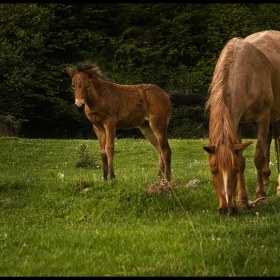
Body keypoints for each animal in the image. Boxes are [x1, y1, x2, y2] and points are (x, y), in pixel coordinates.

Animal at [66, 61, 205, 182]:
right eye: (73, 85)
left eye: (88, 85)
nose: (79, 106)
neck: (97, 99)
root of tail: (167, 95)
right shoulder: (97, 126)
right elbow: (102, 151)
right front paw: (104, 178)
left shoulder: (110, 123)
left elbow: (109, 148)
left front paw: (112, 177)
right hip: (145, 126)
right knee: (159, 149)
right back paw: (159, 177)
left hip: (159, 123)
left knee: (166, 150)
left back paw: (168, 179)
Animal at [203, 30, 280, 214]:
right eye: (213, 171)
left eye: (233, 170)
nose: (226, 209)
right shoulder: (236, 125)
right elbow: (243, 160)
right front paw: (242, 201)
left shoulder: (262, 118)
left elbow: (258, 157)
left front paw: (261, 198)